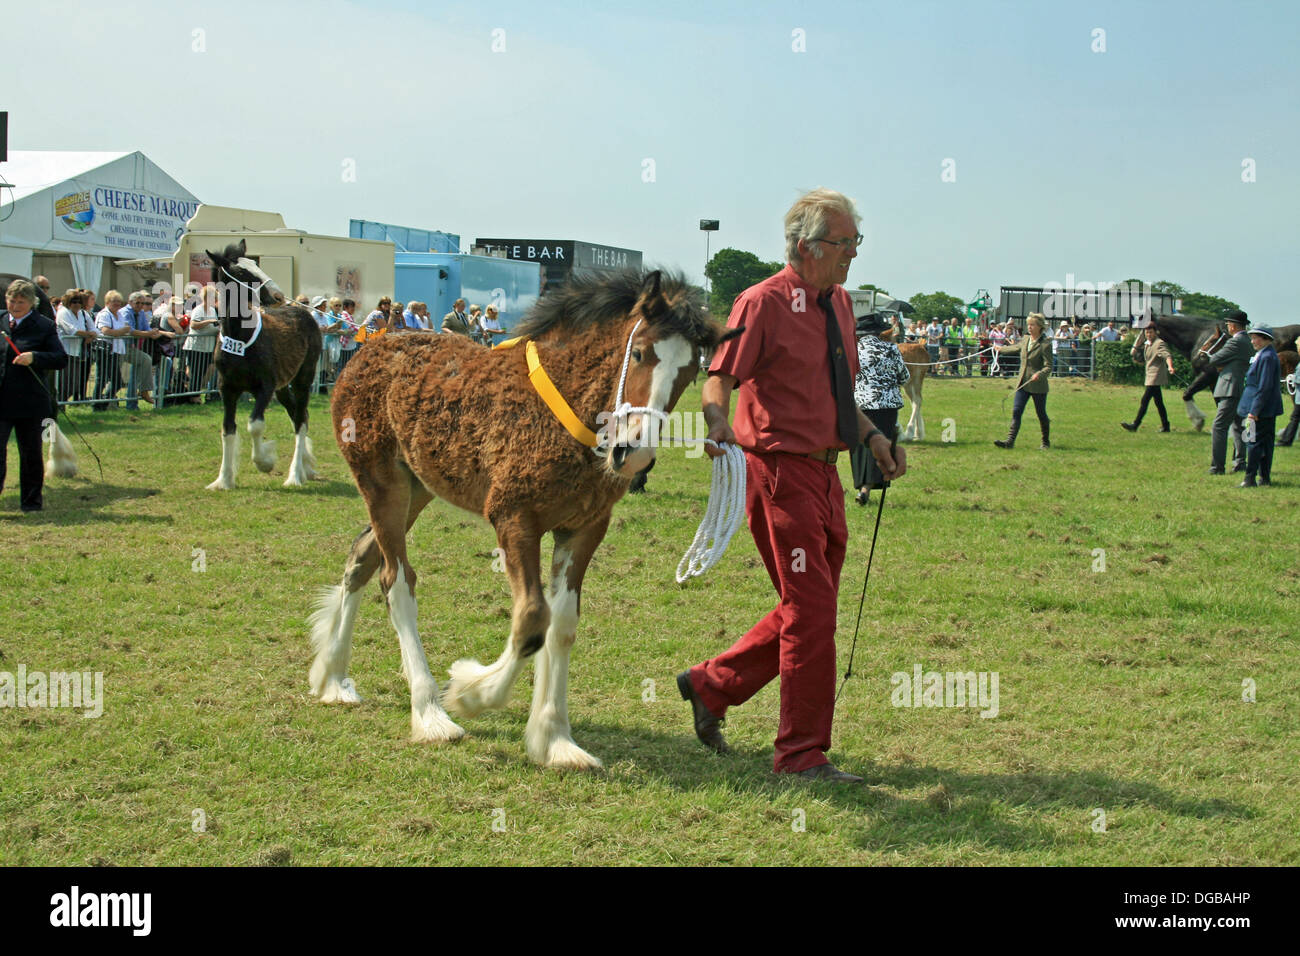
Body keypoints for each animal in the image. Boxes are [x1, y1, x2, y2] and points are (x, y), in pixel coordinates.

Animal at [205, 239, 325, 494]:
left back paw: (295, 475)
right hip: (283, 388)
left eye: (256, 264)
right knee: (298, 415)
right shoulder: (227, 389)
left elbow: (255, 425)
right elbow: (227, 429)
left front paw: (265, 461)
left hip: (303, 380)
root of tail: (304, 312)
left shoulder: (265, 387)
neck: (239, 338)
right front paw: (223, 480)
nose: (278, 295)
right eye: (241, 272)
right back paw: (306, 466)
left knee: (300, 420)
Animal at [301, 269, 733, 770]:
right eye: (641, 352)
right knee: (396, 581)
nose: (634, 454)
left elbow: (561, 626)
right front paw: (471, 692)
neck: (567, 413)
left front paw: (555, 738)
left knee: (363, 558)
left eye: (690, 371)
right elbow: (531, 620)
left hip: (415, 489)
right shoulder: (513, 517)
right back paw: (429, 713)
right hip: (381, 482)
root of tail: (369, 350)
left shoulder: (584, 528)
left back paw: (332, 676)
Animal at [1154, 314, 1294, 429]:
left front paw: (1198, 421)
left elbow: (1187, 393)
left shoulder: (1208, 375)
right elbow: (1218, 402)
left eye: (1149, 328)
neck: (1198, 335)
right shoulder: (1215, 380)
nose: (1200, 355)